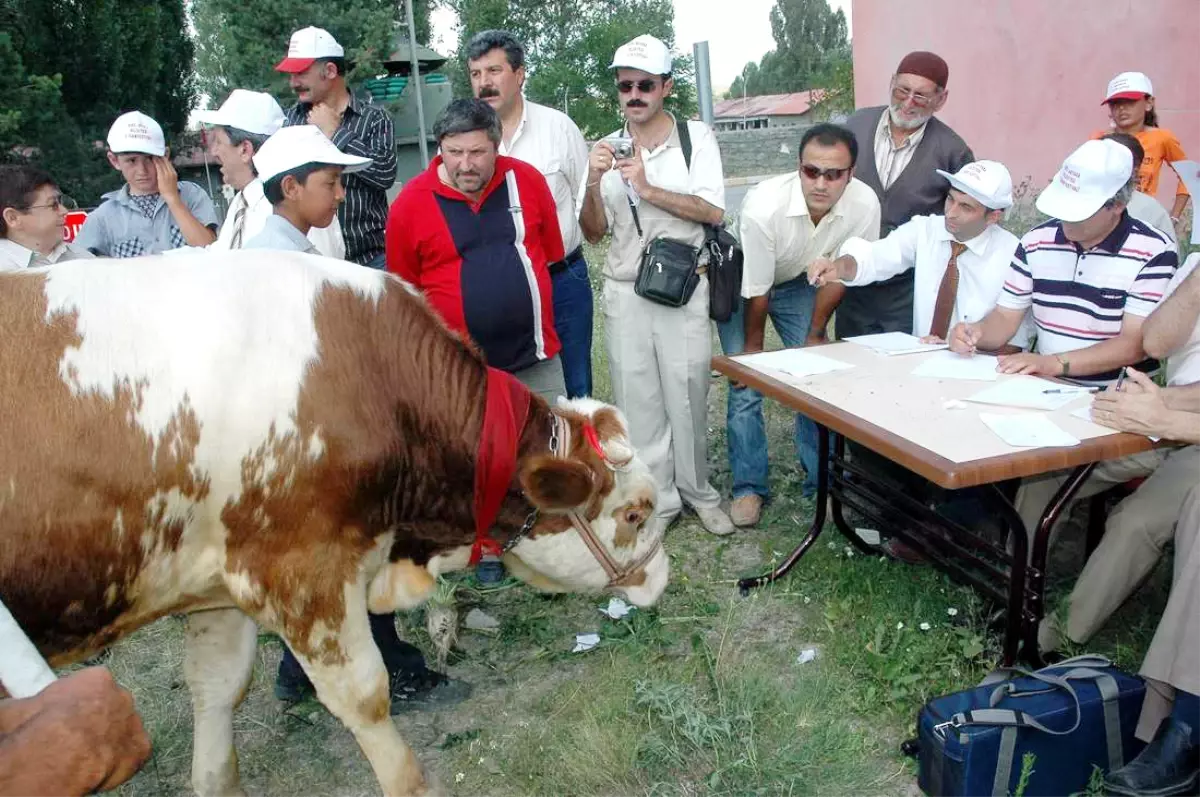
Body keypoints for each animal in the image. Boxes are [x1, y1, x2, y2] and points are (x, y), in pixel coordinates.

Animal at [0, 252, 667, 792]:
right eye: (634, 512)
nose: (661, 576)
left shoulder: (215, 582)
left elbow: (217, 691)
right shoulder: (301, 570)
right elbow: (368, 701)